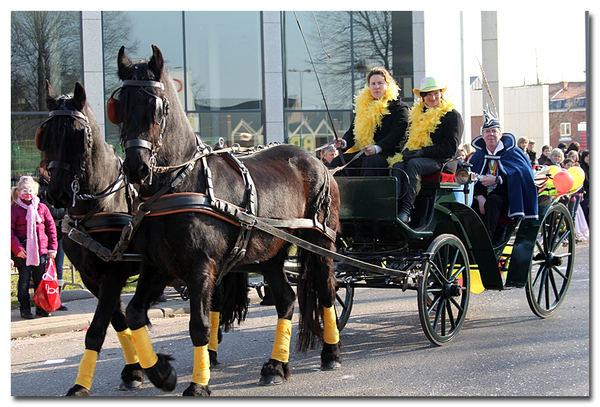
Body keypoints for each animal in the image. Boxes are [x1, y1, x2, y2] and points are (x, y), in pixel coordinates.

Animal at [35, 81, 145, 396]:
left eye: (79, 136)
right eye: (45, 135)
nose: (56, 194)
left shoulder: (114, 271)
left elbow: (96, 329)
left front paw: (80, 385)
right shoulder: (90, 275)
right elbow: (117, 319)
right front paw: (134, 370)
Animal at [109, 43, 342, 396]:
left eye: (156, 106)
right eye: (120, 105)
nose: (137, 167)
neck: (179, 184)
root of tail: (318, 161)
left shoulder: (200, 268)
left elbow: (199, 326)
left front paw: (197, 384)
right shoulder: (156, 266)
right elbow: (134, 313)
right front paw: (161, 372)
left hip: (320, 243)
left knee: (327, 291)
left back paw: (331, 353)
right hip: (271, 255)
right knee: (286, 300)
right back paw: (275, 366)